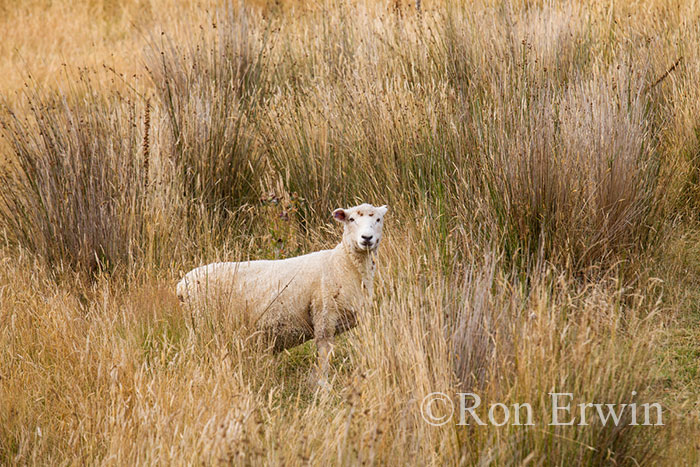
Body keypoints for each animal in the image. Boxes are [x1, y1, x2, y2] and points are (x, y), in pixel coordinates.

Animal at [176, 203, 388, 390]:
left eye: (378, 219)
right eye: (351, 219)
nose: (367, 238)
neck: (343, 263)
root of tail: (182, 286)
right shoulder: (324, 317)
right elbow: (324, 354)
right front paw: (323, 386)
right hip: (203, 326)